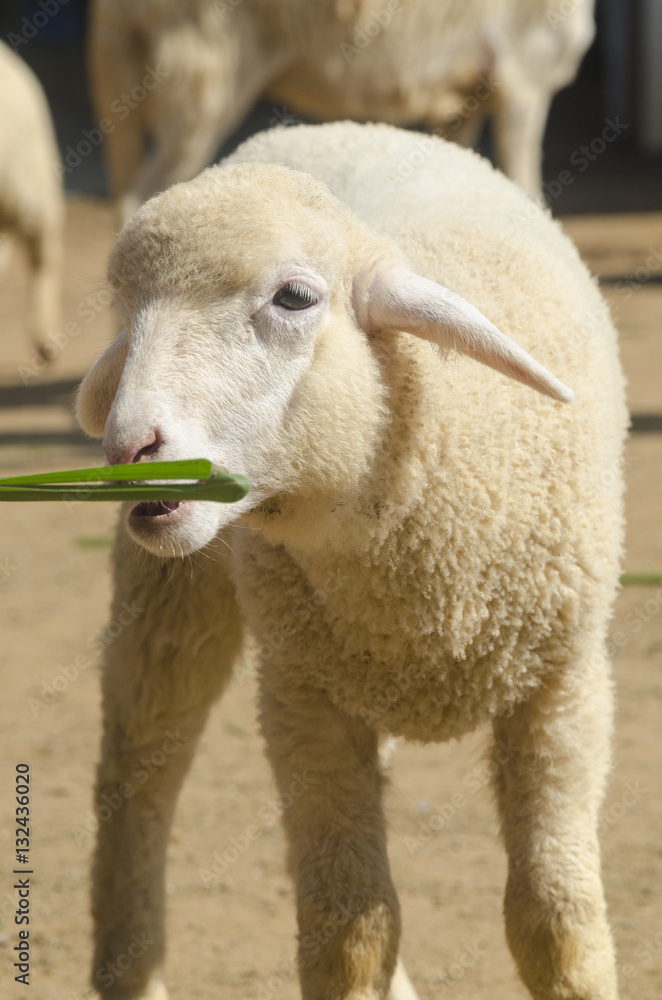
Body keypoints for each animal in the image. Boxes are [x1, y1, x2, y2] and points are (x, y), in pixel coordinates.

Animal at [76, 119, 628, 1000]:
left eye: (295, 298)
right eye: (128, 309)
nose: (129, 450)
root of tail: (323, 124)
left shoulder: (563, 685)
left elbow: (554, 921)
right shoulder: (305, 700)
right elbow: (349, 934)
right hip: (175, 590)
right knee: (138, 775)